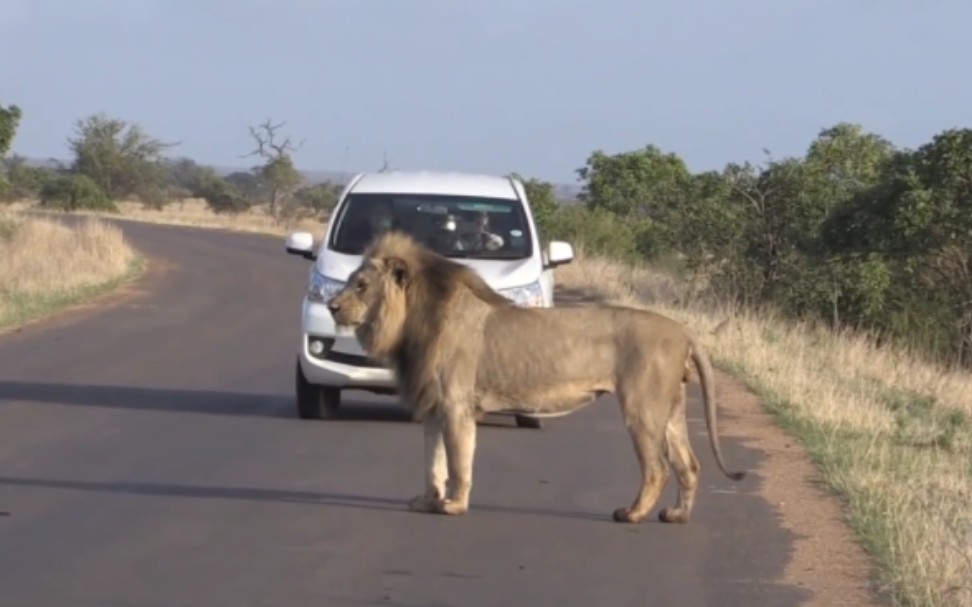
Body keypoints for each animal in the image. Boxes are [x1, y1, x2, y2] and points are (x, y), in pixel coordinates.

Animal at [326, 230, 744, 524]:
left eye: (361, 286)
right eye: (350, 282)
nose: (330, 306)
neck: (413, 321)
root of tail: (683, 330)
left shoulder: (457, 405)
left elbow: (459, 462)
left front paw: (454, 506)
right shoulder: (434, 406)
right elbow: (433, 462)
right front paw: (427, 502)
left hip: (642, 409)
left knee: (657, 468)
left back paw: (632, 514)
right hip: (669, 410)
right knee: (689, 465)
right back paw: (676, 516)